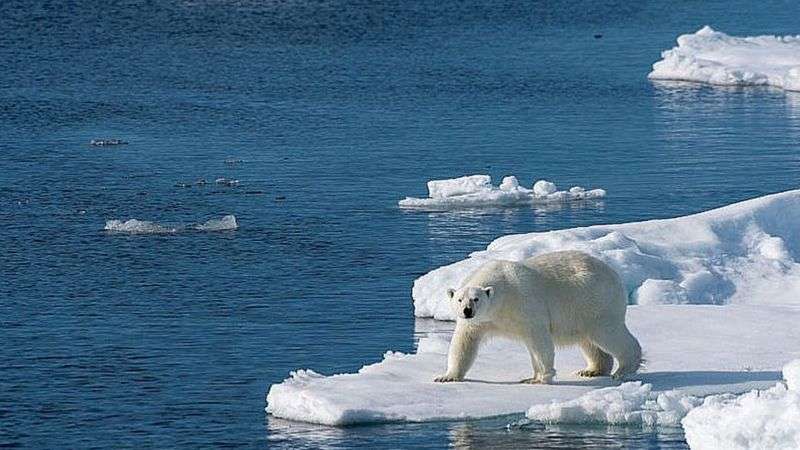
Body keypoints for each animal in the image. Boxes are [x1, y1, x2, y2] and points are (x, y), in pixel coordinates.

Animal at [434, 250, 640, 384]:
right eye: (460, 299)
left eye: (476, 299)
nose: (467, 311)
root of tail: (614, 274)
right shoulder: (478, 322)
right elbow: (464, 342)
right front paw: (446, 377)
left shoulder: (525, 304)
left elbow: (538, 339)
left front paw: (541, 378)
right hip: (582, 311)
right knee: (589, 342)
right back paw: (591, 370)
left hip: (595, 301)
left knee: (608, 333)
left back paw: (623, 370)